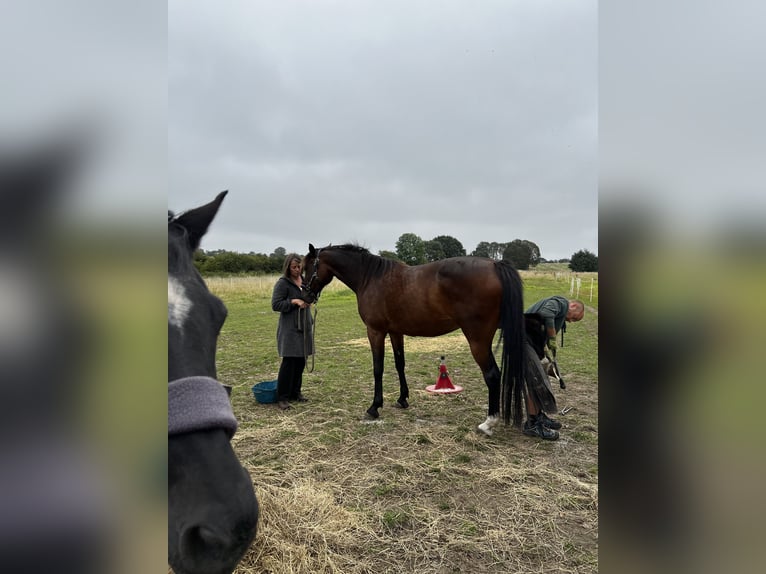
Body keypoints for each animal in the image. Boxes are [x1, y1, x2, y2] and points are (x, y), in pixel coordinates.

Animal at [302, 243, 528, 436]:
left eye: (306, 268)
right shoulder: (395, 332)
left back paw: (489, 422)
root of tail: (495, 265)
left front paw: (374, 407)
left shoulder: (375, 331)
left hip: (478, 340)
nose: (306, 296)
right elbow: (399, 364)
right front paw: (402, 399)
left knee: (492, 375)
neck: (370, 277)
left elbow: (378, 368)